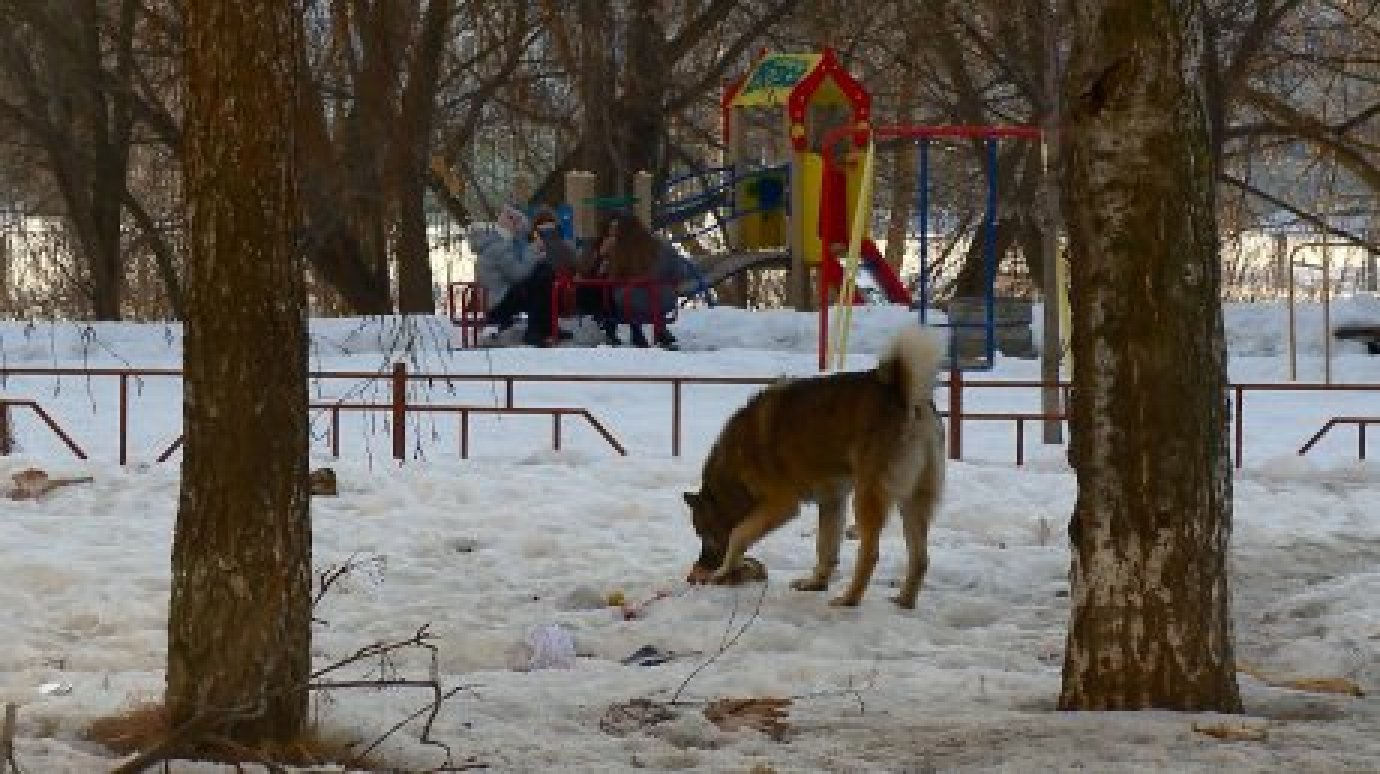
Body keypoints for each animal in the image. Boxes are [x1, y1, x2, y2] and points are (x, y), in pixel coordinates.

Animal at [681, 322, 949, 607]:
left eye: (704, 534)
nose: (700, 567)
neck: (735, 463)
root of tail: (902, 391)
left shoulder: (781, 505)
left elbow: (738, 535)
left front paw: (724, 570)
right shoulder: (832, 500)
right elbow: (825, 548)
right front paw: (816, 583)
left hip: (868, 496)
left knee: (871, 553)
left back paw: (850, 598)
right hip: (914, 500)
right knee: (920, 558)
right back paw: (904, 601)